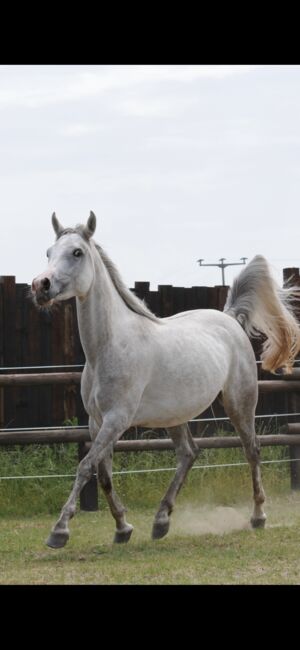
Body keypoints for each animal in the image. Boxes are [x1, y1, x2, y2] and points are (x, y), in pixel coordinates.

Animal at [31, 214, 300, 548]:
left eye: (77, 252)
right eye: (48, 252)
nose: (40, 286)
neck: (109, 346)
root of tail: (229, 317)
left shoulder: (117, 419)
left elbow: (85, 467)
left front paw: (59, 531)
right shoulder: (96, 422)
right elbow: (103, 473)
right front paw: (123, 528)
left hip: (240, 402)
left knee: (252, 451)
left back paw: (258, 517)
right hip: (176, 415)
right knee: (188, 454)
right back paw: (161, 521)